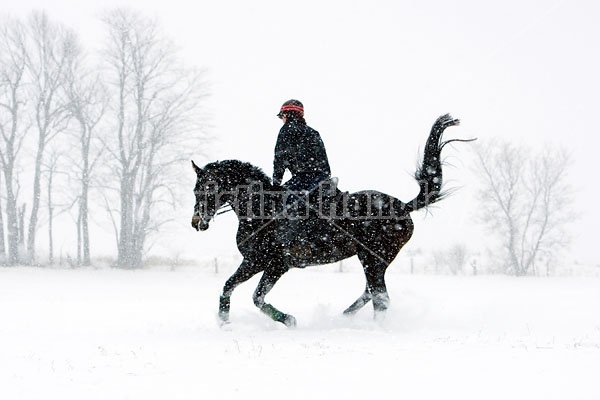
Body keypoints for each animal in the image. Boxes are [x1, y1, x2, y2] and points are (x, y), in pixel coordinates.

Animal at [190, 114, 466, 326]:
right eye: (195, 190)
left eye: (208, 188)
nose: (196, 222)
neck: (263, 211)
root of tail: (404, 206)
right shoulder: (253, 261)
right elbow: (227, 287)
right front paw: (224, 323)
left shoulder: (276, 263)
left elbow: (257, 297)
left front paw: (288, 320)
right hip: (374, 260)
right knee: (371, 293)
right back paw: (343, 316)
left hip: (373, 259)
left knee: (380, 297)